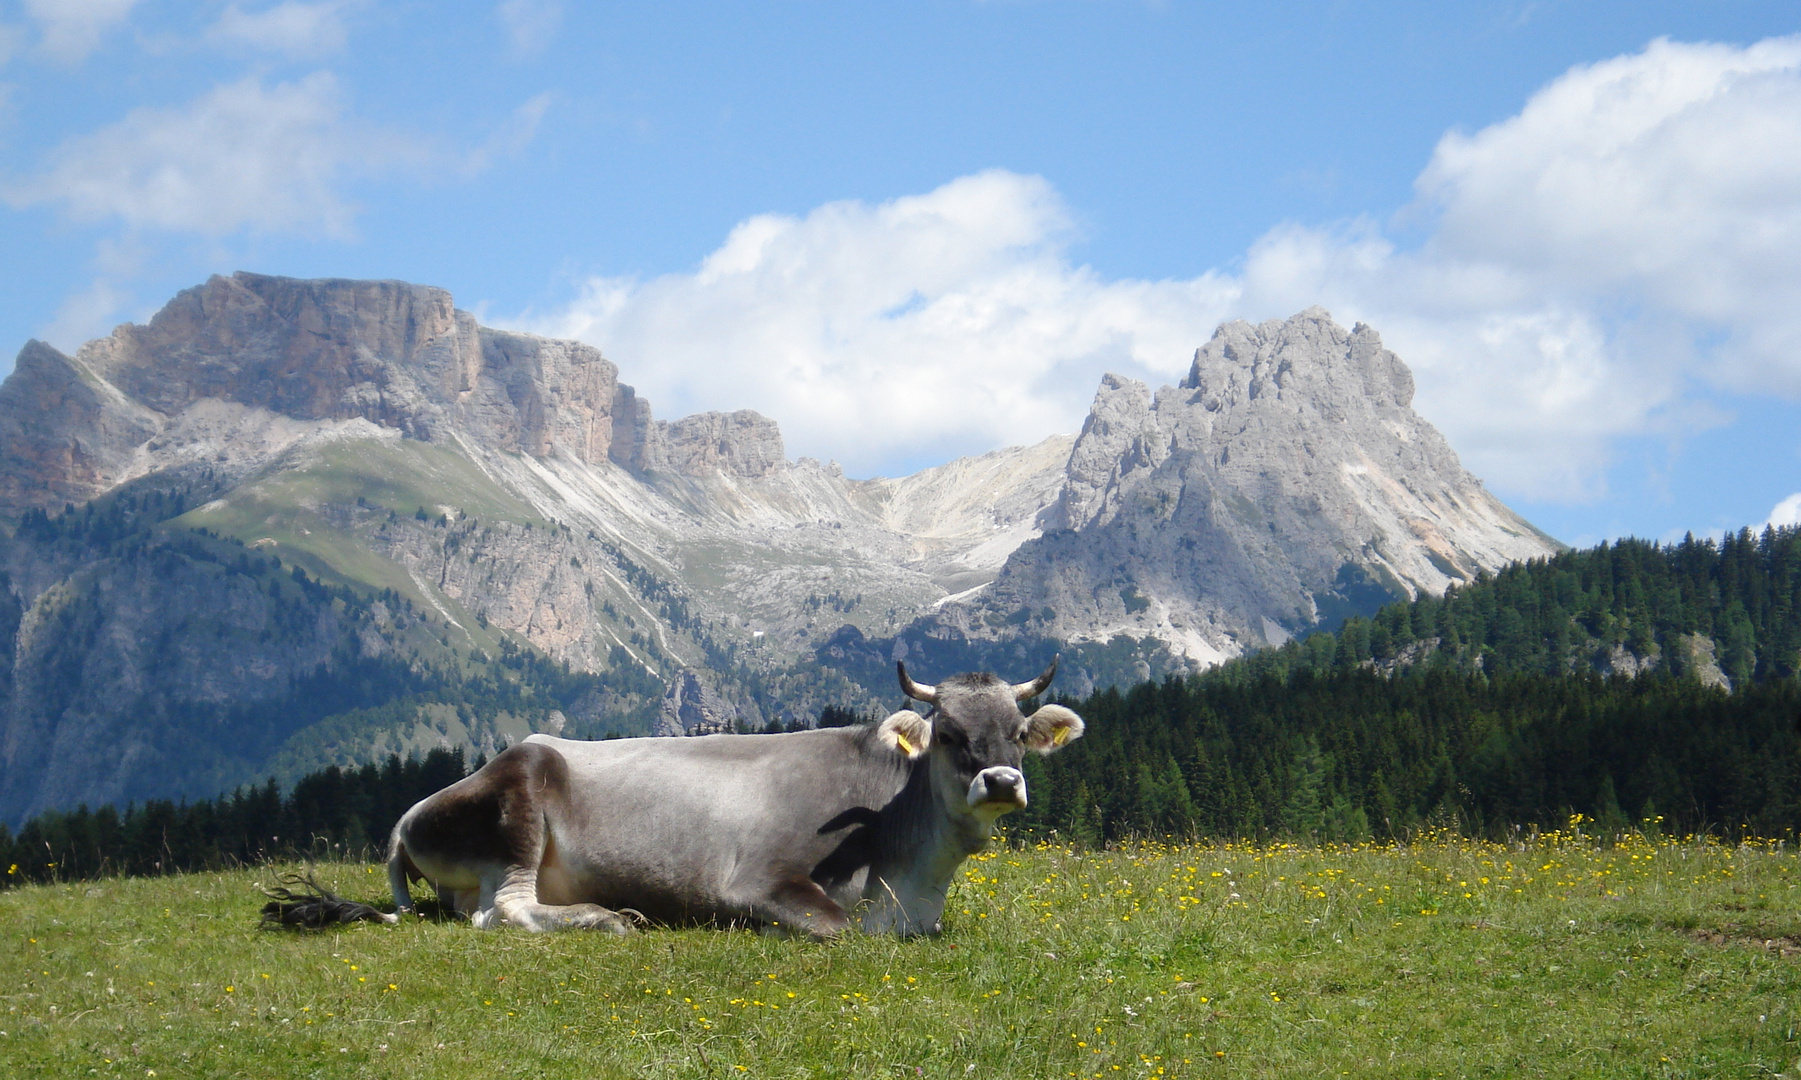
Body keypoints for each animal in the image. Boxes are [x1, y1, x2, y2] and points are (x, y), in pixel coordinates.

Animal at [383, 658, 1080, 936]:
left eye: (1018, 734)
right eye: (951, 735)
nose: (1001, 782)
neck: (912, 876)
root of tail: (407, 817)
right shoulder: (758, 882)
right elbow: (839, 928)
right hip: (522, 794)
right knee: (503, 910)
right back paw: (606, 917)